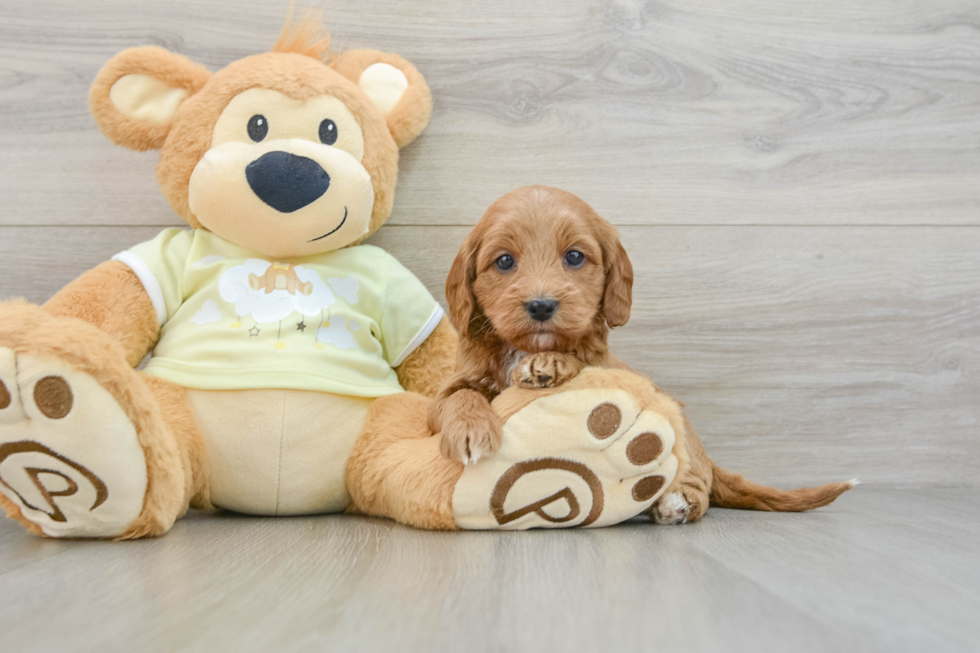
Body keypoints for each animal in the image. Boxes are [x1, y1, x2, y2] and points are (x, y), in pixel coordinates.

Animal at [432, 185, 852, 524]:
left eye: (574, 257)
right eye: (504, 260)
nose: (541, 305)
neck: (524, 346)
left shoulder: (600, 364)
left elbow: (581, 360)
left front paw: (549, 364)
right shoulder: (445, 393)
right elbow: (458, 396)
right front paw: (471, 429)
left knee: (698, 486)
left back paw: (675, 503)